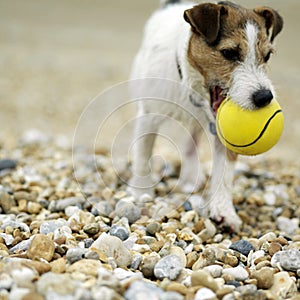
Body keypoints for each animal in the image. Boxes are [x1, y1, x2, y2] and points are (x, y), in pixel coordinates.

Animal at [127, 0, 282, 231]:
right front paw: (141, 192)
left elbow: (224, 174)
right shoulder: (148, 115)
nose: (264, 97)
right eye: (229, 53)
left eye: (268, 55)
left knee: (190, 146)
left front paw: (224, 210)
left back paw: (191, 178)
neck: (192, 88)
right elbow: (143, 155)